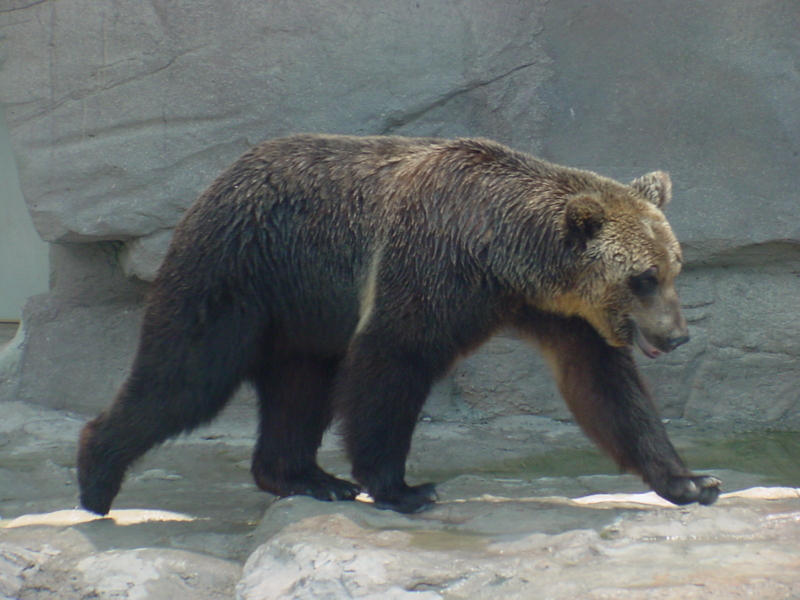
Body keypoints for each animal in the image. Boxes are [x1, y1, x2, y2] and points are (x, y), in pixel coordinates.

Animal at [79, 134, 720, 512]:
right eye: (643, 277)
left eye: (673, 268)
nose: (676, 336)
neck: (501, 257)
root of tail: (219, 177)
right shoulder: (429, 268)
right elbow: (390, 365)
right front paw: (404, 487)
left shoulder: (561, 314)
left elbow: (607, 390)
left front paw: (691, 481)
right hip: (241, 271)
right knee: (186, 376)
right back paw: (96, 477)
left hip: (304, 313)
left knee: (298, 389)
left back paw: (307, 477)